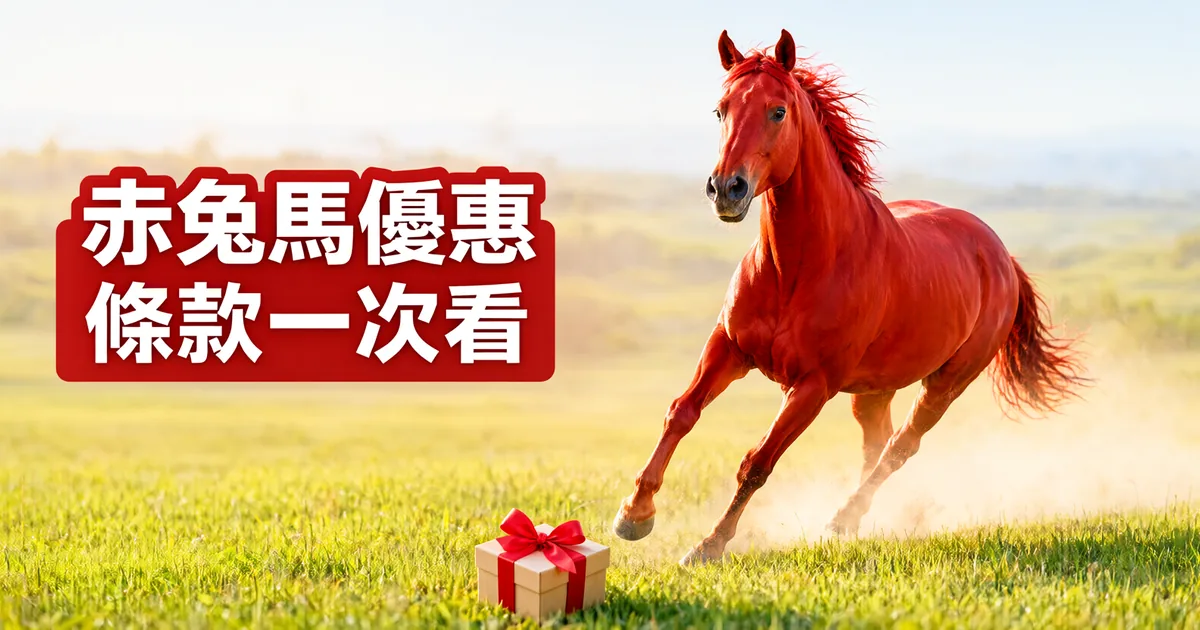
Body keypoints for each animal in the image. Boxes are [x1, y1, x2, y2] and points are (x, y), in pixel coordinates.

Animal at [611, 28, 1089, 565]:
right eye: (720, 110)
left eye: (778, 111)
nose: (726, 190)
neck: (797, 268)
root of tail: (1002, 255)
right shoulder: (728, 348)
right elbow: (681, 412)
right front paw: (634, 515)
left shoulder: (812, 386)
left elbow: (757, 462)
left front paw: (708, 546)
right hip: (874, 388)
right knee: (875, 443)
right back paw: (852, 523)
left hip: (946, 383)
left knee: (901, 446)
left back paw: (841, 520)